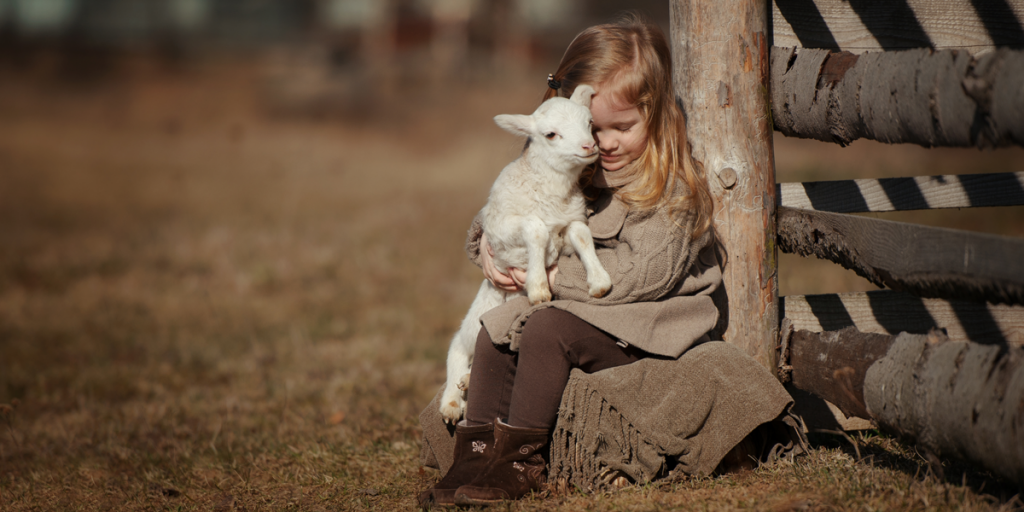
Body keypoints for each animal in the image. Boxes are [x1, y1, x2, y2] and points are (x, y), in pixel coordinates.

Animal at [438, 82, 606, 423]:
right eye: (551, 134)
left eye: (590, 123)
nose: (589, 146)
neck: (552, 193)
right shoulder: (502, 230)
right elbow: (536, 228)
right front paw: (539, 288)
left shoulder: (571, 220)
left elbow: (582, 236)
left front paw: (599, 281)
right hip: (475, 320)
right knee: (456, 349)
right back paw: (451, 402)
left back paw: (467, 383)